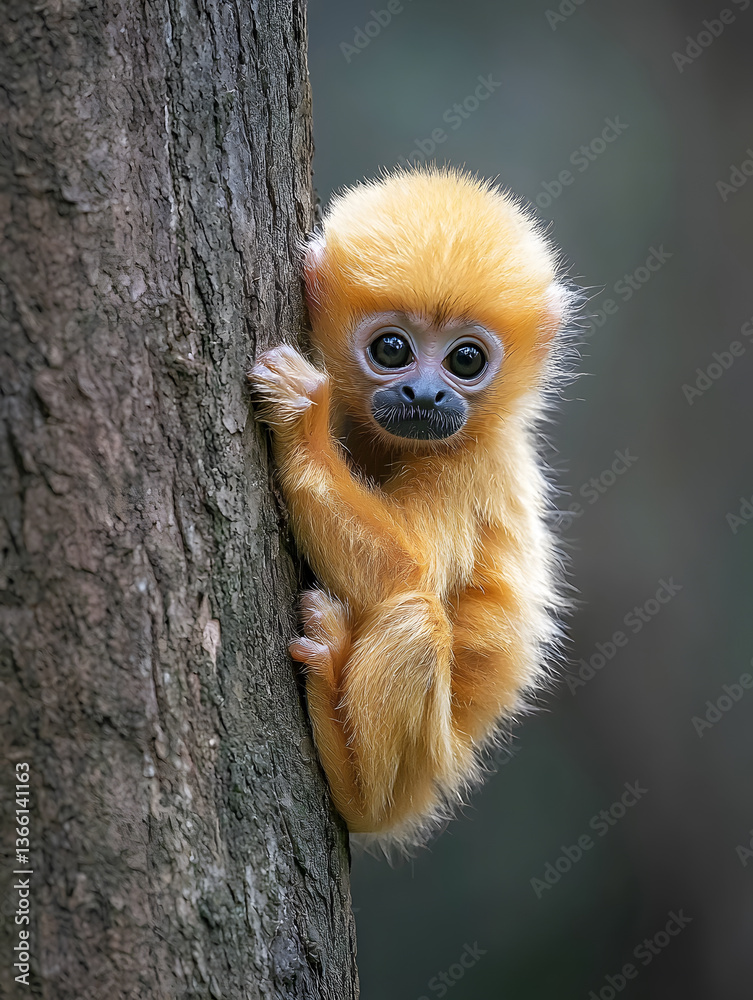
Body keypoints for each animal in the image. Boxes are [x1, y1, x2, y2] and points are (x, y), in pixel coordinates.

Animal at [248, 166, 574, 849]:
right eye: (393, 349)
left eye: (466, 359)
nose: (425, 395)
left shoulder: (470, 466)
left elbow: (411, 570)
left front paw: (302, 425)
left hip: (424, 762)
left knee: (417, 623)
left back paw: (349, 771)